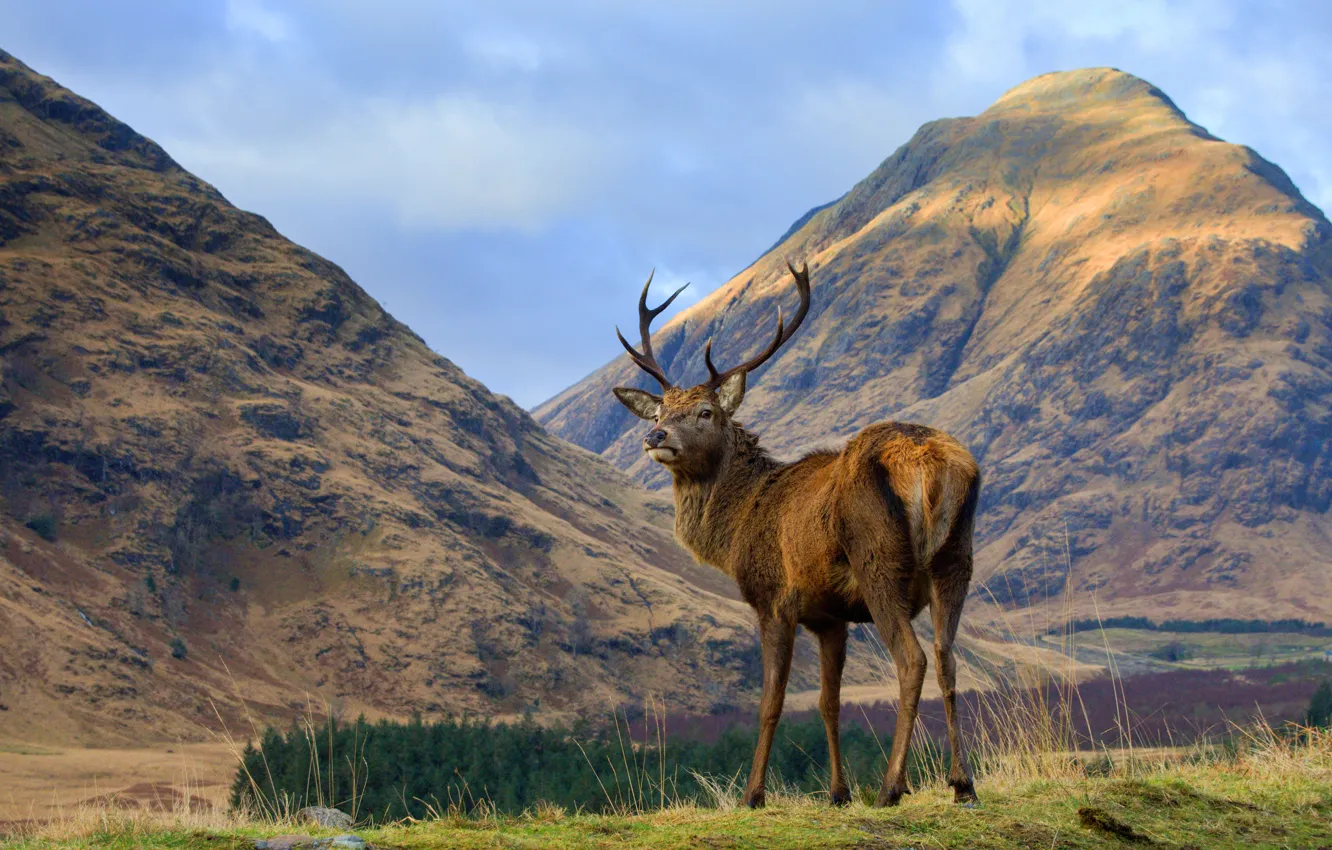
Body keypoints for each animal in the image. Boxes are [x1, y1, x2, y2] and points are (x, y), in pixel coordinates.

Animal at [610, 261, 981, 809]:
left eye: (705, 412)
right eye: (659, 412)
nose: (654, 437)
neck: (738, 525)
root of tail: (929, 463)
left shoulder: (775, 598)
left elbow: (771, 701)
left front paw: (753, 794)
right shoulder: (829, 618)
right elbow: (829, 703)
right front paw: (838, 792)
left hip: (879, 561)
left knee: (912, 660)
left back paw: (891, 786)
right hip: (956, 558)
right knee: (947, 658)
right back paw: (962, 783)